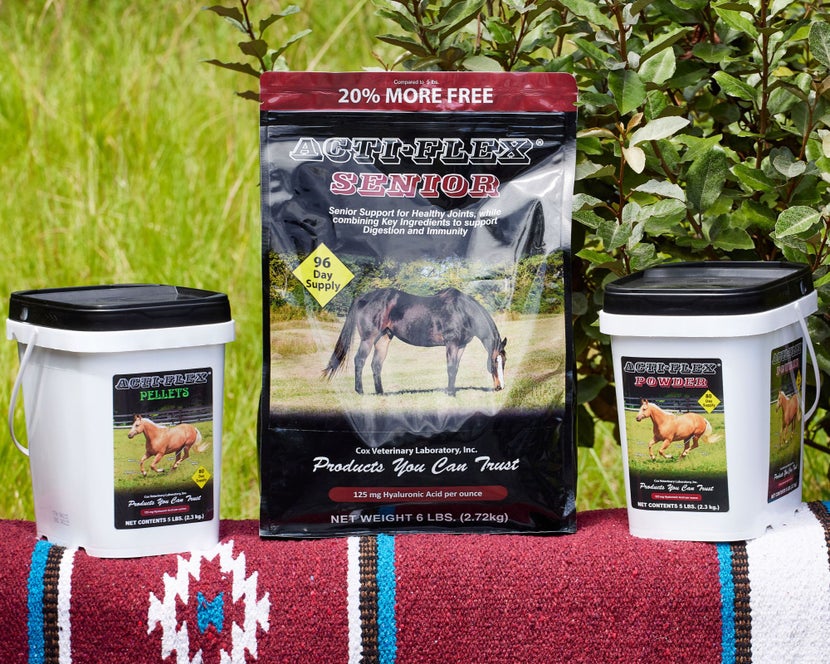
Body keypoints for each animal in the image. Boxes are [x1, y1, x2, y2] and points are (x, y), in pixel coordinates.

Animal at [324, 286, 508, 394]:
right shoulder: (451, 344)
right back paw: (360, 391)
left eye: (504, 361)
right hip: (368, 339)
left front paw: (452, 391)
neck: (463, 311)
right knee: (359, 360)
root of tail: (363, 298)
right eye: (495, 361)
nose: (500, 387)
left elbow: (455, 367)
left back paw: (381, 392)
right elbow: (450, 367)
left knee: (376, 364)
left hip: (384, 338)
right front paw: (450, 394)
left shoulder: (461, 346)